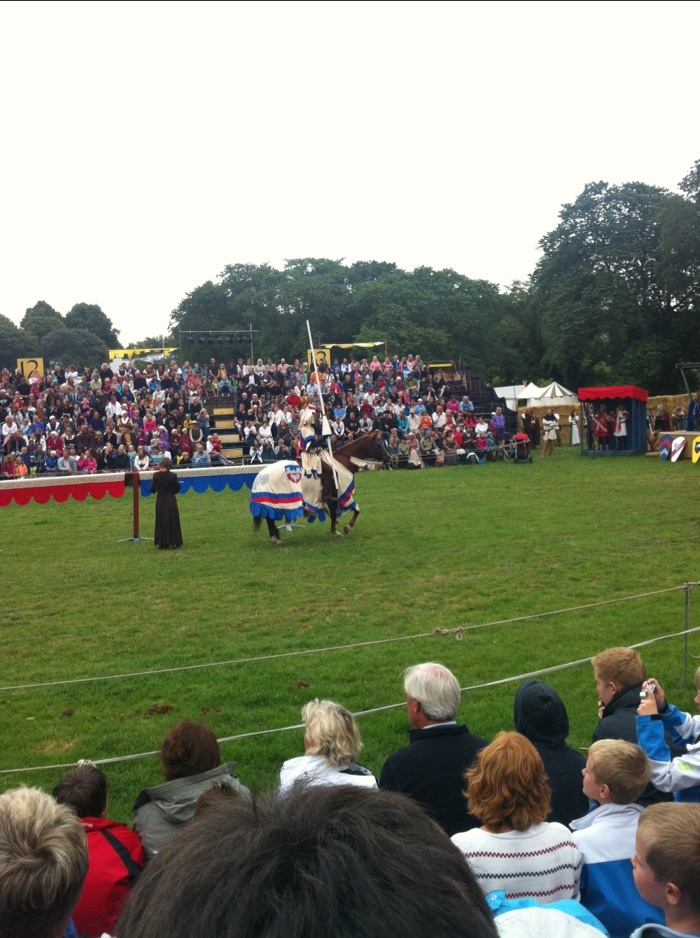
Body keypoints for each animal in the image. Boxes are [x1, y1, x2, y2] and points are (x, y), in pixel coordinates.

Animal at [251, 432, 390, 544]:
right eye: (378, 445)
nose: (389, 457)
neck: (341, 462)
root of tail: (261, 475)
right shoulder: (338, 495)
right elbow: (353, 510)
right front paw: (345, 528)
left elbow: (338, 513)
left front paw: (336, 530)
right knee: (270, 518)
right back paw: (275, 538)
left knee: (269, 518)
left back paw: (276, 536)